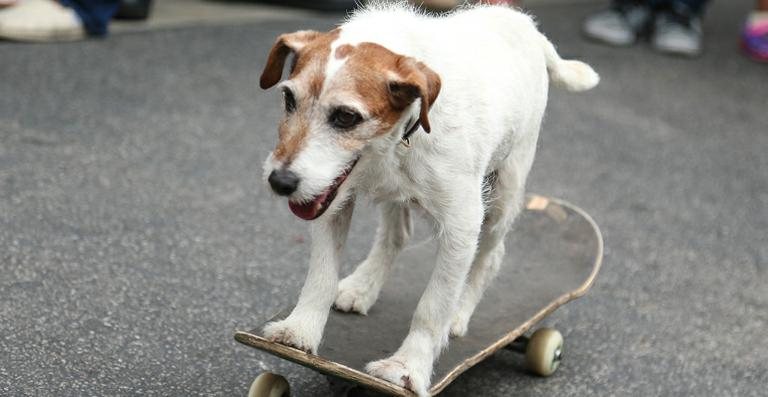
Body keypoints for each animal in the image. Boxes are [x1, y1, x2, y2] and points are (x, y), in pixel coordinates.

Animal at [260, 2, 600, 392]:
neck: (407, 128)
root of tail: (527, 25)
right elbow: (322, 273)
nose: (281, 181)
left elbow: (432, 307)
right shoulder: (331, 197)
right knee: (396, 236)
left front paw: (407, 367)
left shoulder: (462, 225)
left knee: (490, 256)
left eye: (346, 116)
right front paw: (299, 331)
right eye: (289, 98)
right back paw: (363, 286)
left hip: (505, 194)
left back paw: (459, 314)